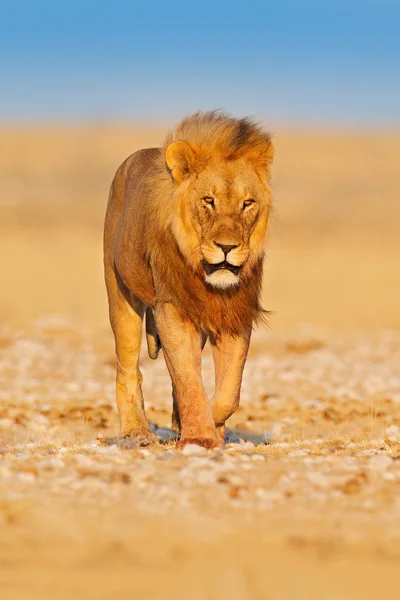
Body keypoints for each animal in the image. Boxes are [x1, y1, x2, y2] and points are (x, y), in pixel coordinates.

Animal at [103, 111, 274, 450]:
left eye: (247, 203)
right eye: (208, 200)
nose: (226, 247)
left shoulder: (234, 315)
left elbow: (228, 392)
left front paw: (204, 426)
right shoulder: (172, 309)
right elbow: (189, 381)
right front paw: (200, 437)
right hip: (121, 296)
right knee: (128, 369)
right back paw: (137, 432)